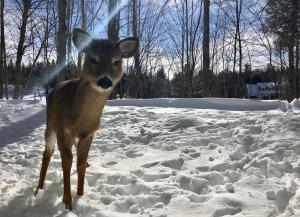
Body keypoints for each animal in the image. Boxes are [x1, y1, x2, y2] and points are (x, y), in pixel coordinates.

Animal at [34, 28, 139, 209]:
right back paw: (38, 188)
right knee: (47, 153)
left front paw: (81, 194)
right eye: (93, 59)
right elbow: (67, 161)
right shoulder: (63, 129)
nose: (105, 81)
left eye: (116, 61)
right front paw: (67, 201)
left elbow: (81, 163)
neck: (81, 117)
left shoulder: (89, 133)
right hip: (50, 124)